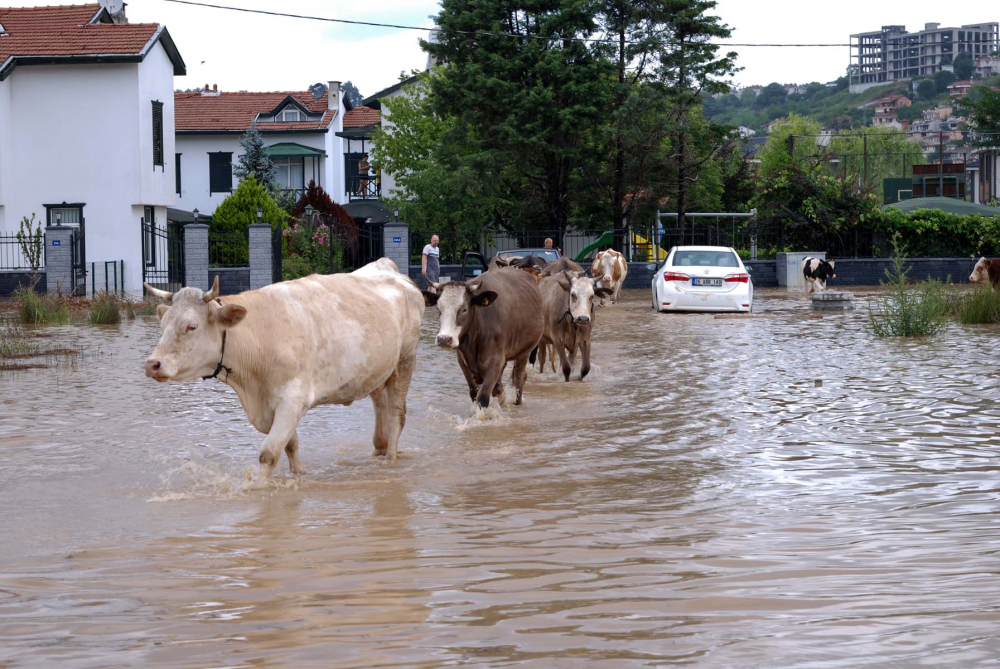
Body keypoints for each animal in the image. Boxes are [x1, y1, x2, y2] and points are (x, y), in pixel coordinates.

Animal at [143, 258, 424, 478]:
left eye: (191, 326)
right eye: (164, 324)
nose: (151, 364)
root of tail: (389, 268)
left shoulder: (293, 400)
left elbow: (269, 453)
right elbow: (291, 445)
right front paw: (299, 475)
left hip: (405, 360)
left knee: (396, 415)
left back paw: (390, 461)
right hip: (379, 369)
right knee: (380, 406)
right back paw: (379, 450)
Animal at [424, 266, 544, 408]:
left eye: (464, 309)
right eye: (439, 308)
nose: (444, 339)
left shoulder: (495, 361)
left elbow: (483, 397)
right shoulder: (463, 362)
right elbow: (474, 392)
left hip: (524, 352)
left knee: (520, 377)